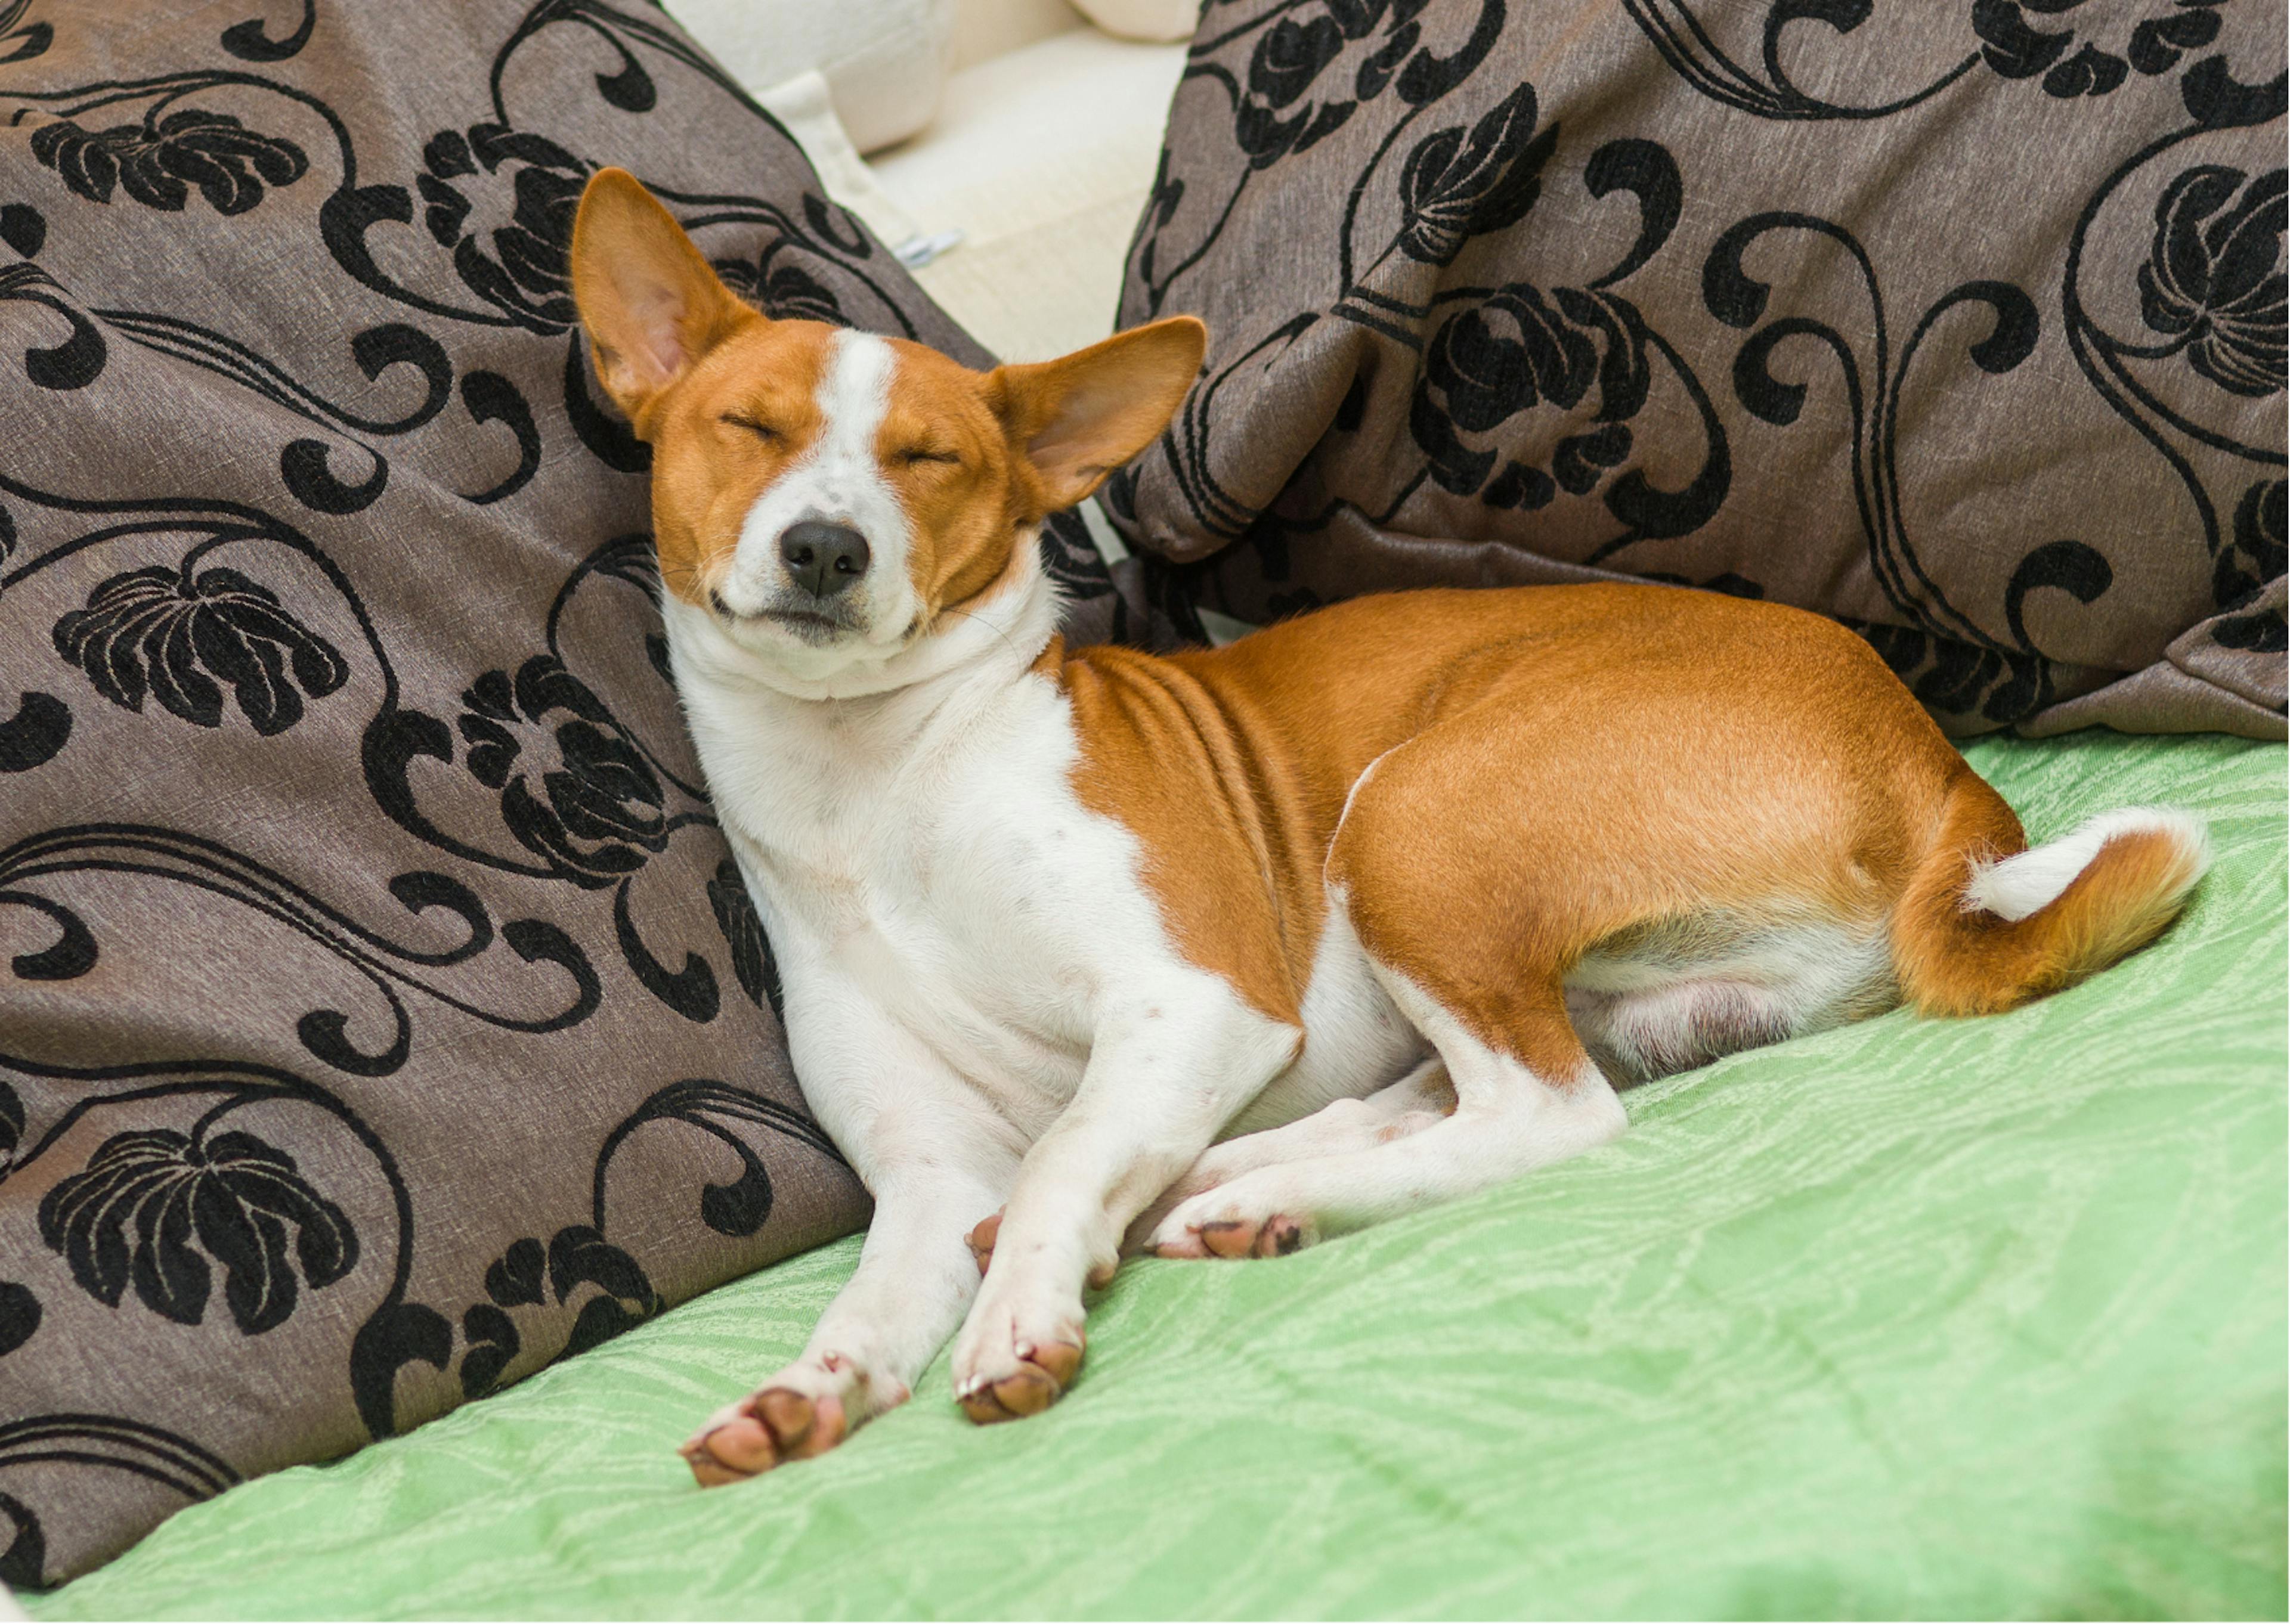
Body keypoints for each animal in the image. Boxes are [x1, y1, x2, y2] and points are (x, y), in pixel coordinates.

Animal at [563, 168, 2207, 1484]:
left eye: (930, 460)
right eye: (748, 427)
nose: (824, 548)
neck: (880, 785)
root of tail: (1932, 763)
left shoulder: (1195, 1003)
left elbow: (1063, 1154)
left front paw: (1024, 1306)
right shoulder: (929, 1168)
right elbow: (887, 1282)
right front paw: (810, 1386)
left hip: (1407, 820)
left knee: (1543, 1116)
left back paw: (1258, 1195)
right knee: (1458, 1096)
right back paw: (1228, 1186)